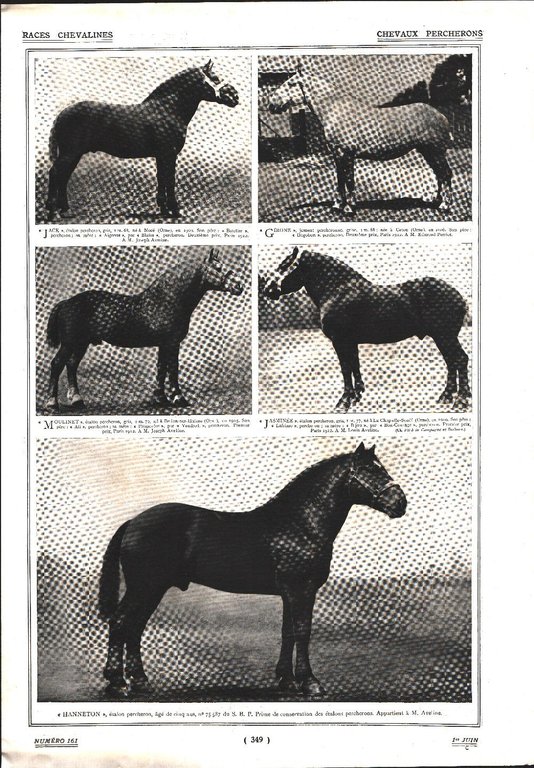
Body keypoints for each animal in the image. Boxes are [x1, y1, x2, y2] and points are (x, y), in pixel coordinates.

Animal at [44, 248, 243, 413]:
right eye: (218, 268)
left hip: (81, 344)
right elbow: (173, 369)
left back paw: (77, 401)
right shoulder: (172, 343)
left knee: (71, 366)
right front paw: (179, 398)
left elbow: (161, 368)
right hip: (69, 343)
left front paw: (160, 398)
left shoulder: (164, 344)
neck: (166, 300)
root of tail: (65, 303)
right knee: (57, 364)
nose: (239, 286)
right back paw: (52, 403)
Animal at [46, 60, 239, 220]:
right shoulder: (169, 154)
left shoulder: (162, 156)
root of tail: (62, 114)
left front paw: (164, 209)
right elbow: (170, 179)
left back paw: (65, 210)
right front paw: (175, 211)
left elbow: (162, 178)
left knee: (63, 177)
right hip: (71, 153)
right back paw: (53, 213)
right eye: (215, 77)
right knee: (55, 174)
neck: (169, 109)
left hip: (74, 154)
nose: (235, 96)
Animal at [98, 442, 407, 697]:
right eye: (369, 470)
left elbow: (287, 632)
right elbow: (302, 631)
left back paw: (140, 681)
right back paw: (118, 683)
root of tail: (133, 522)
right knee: (121, 623)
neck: (299, 523)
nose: (400, 503)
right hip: (144, 587)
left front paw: (287, 680)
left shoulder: (289, 593)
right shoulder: (301, 590)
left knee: (134, 628)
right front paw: (310, 682)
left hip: (153, 589)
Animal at [262, 247, 471, 411]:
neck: (337, 290)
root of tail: (459, 296)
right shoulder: (350, 342)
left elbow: (345, 368)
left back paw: (461, 400)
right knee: (452, 362)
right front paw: (356, 397)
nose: (268, 289)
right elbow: (355, 365)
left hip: (445, 336)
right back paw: (446, 397)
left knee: (459, 359)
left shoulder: (340, 341)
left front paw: (344, 402)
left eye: (285, 265)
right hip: (442, 337)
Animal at [268, 66, 454, 213]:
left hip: (435, 151)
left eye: (291, 84)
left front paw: (349, 208)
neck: (335, 110)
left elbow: (349, 180)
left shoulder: (347, 154)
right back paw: (436, 201)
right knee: (439, 175)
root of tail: (441, 115)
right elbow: (340, 179)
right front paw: (338, 205)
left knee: (446, 174)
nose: (271, 104)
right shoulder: (337, 154)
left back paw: (445, 205)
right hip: (427, 152)